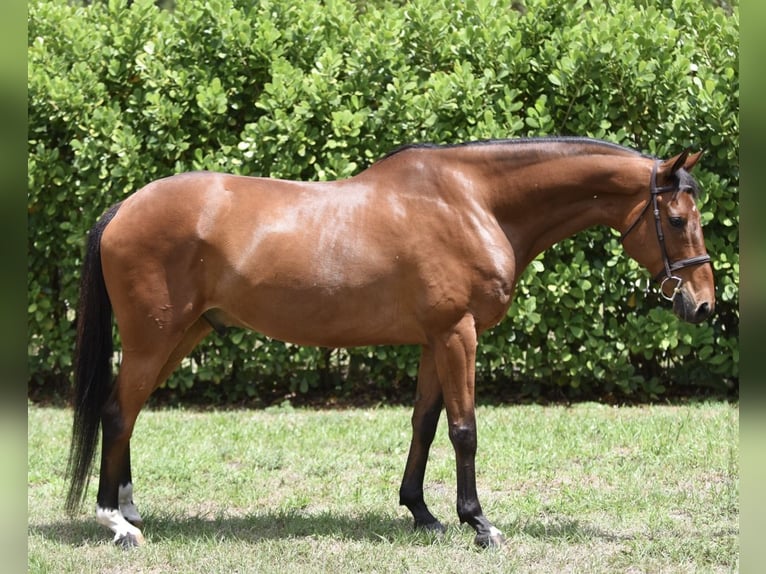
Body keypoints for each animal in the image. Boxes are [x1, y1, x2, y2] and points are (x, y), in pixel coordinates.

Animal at [64, 137, 714, 548]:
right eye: (678, 219)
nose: (703, 303)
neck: (474, 202)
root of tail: (123, 207)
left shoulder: (435, 340)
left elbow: (424, 424)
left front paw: (423, 513)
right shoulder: (458, 334)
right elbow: (464, 429)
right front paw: (479, 524)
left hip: (181, 334)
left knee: (128, 415)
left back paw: (130, 509)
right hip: (153, 338)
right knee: (117, 412)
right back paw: (117, 525)